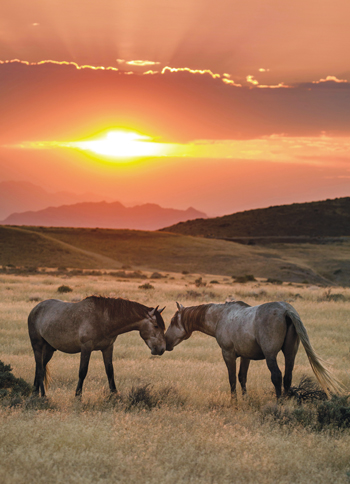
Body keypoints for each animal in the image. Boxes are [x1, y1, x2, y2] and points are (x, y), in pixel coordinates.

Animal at [28, 294, 166, 398]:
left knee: (40, 367)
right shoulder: (86, 348)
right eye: (156, 326)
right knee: (40, 369)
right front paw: (78, 396)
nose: (162, 349)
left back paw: (35, 393)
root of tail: (35, 309)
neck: (103, 319)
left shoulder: (108, 348)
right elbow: (82, 371)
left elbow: (110, 371)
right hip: (37, 346)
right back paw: (43, 395)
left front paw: (114, 394)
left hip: (49, 349)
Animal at [165, 300, 344, 398]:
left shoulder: (228, 354)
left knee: (277, 376)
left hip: (271, 355)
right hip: (290, 354)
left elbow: (232, 379)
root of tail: (286, 310)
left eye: (173, 320)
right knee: (287, 377)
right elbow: (242, 377)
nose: (165, 342)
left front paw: (234, 403)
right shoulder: (246, 356)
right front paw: (246, 400)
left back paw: (279, 403)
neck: (220, 317)